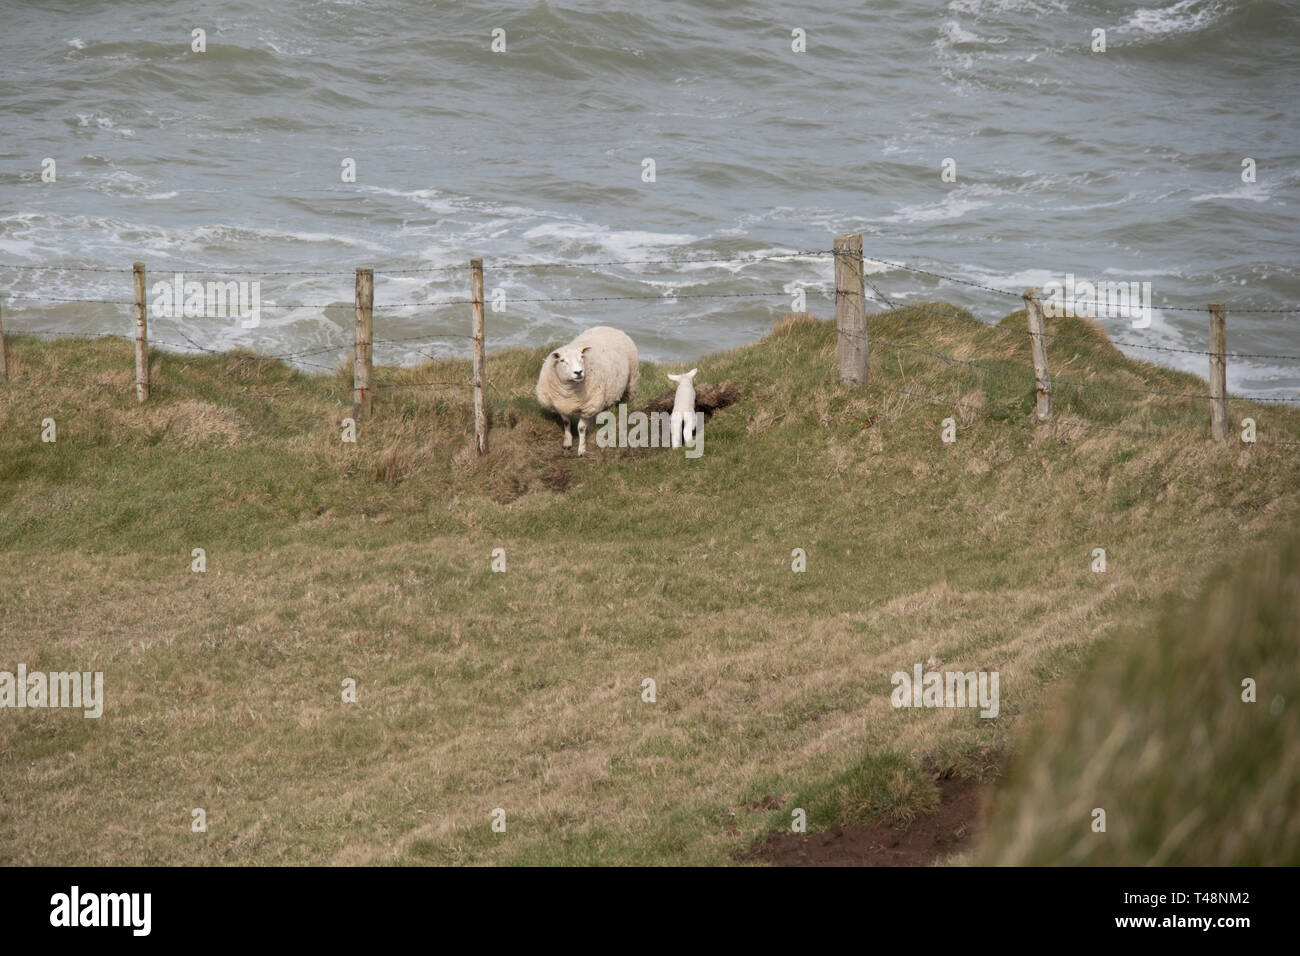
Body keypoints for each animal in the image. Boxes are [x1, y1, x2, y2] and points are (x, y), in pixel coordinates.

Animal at [536, 326, 639, 456]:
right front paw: (567, 443)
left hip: (632, 380)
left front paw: (581, 450)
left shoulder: (588, 407)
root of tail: (609, 327)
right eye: (562, 360)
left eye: (581, 358)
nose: (578, 372)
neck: (568, 392)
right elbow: (566, 423)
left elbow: (581, 428)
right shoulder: (561, 405)